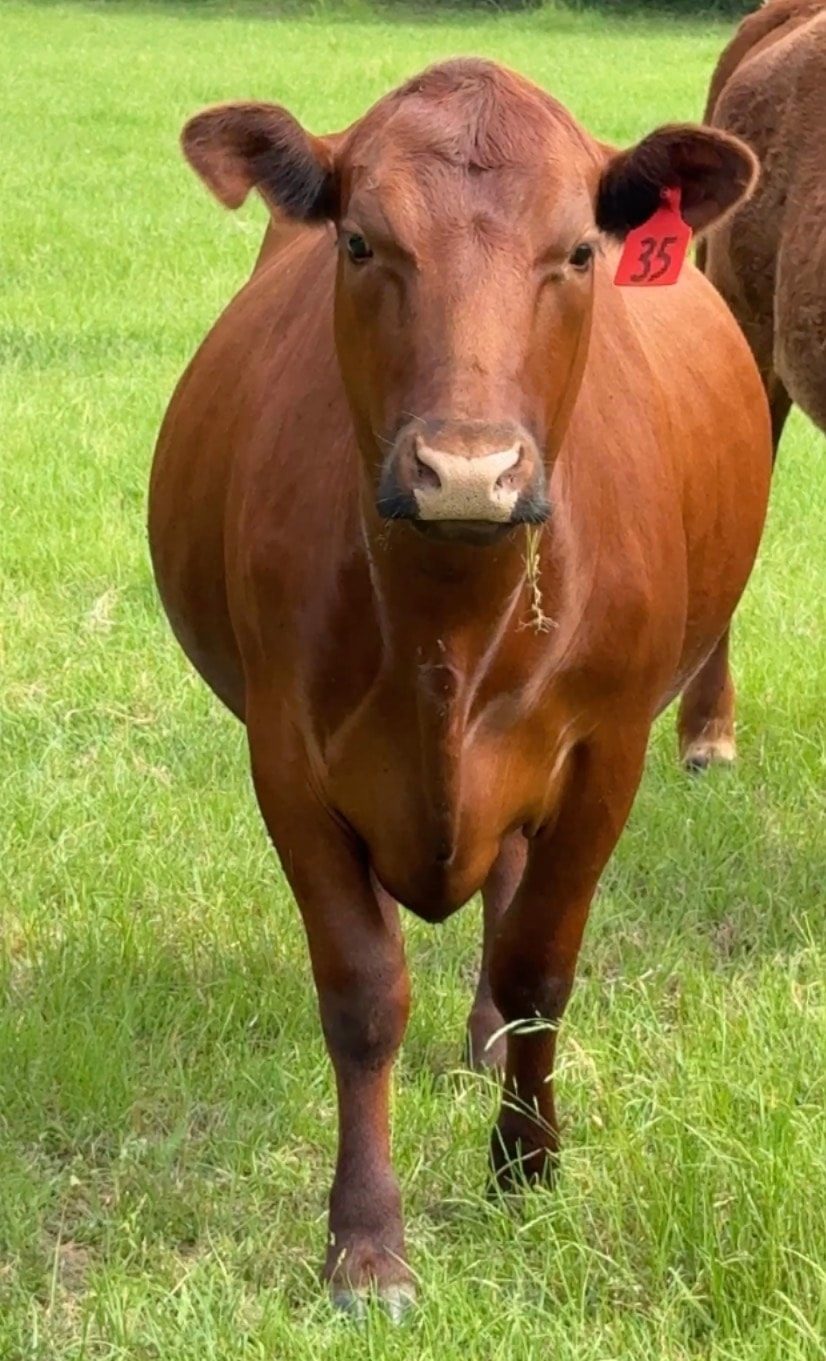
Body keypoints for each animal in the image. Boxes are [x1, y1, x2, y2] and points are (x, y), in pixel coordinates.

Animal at [148, 59, 771, 1315]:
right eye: (360, 243)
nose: (468, 471)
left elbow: (540, 962)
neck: (450, 608)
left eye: (578, 250)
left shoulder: (608, 750)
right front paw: (365, 1242)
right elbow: (362, 992)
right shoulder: (290, 759)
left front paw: (526, 1167)